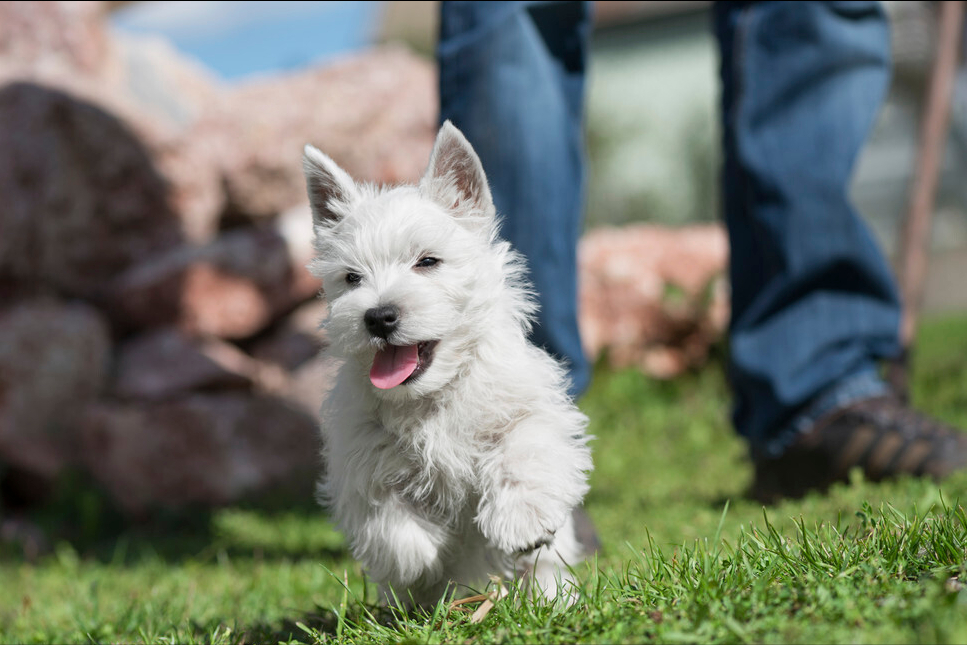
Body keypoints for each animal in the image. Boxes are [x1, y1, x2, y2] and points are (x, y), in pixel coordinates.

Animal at [304, 121, 588, 608]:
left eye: (428, 261)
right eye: (351, 277)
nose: (378, 316)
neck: (432, 393)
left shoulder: (529, 408)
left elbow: (523, 448)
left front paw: (522, 520)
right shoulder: (359, 455)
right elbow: (386, 515)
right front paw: (421, 558)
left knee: (547, 569)